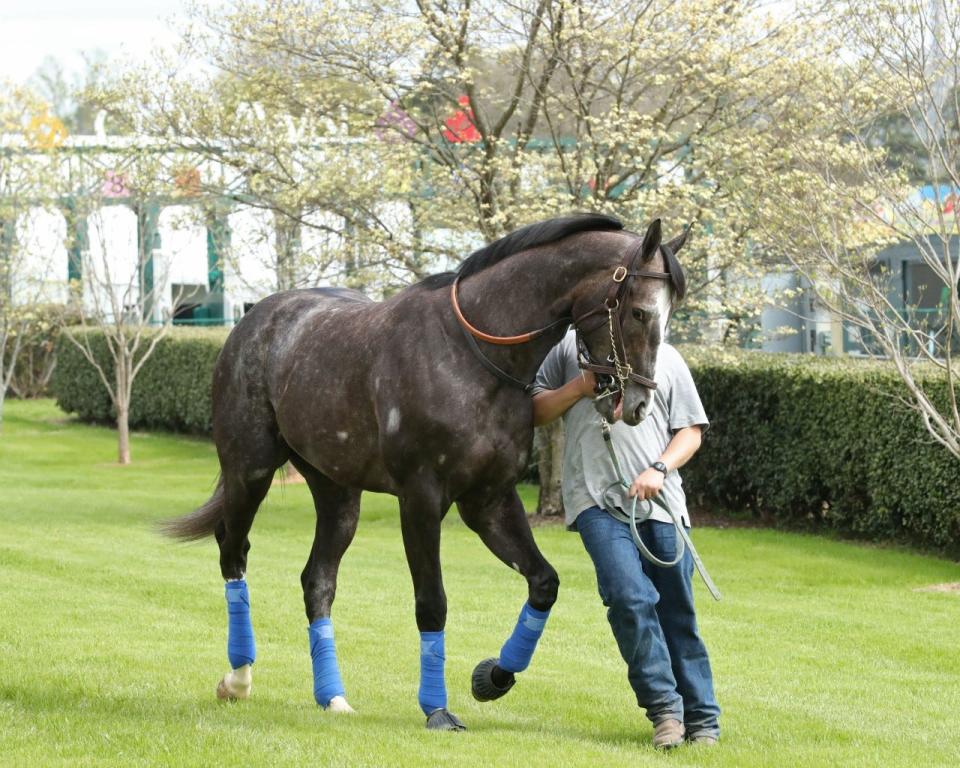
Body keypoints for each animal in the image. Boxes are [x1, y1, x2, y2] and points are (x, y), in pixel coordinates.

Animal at [167, 213, 688, 728]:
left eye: (670, 313)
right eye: (640, 312)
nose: (637, 403)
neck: (474, 355)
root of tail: (254, 318)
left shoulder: (489, 501)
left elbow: (544, 583)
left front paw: (493, 677)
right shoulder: (421, 498)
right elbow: (432, 603)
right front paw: (436, 708)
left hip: (337, 493)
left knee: (317, 581)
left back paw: (332, 696)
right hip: (249, 470)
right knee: (233, 553)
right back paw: (238, 679)